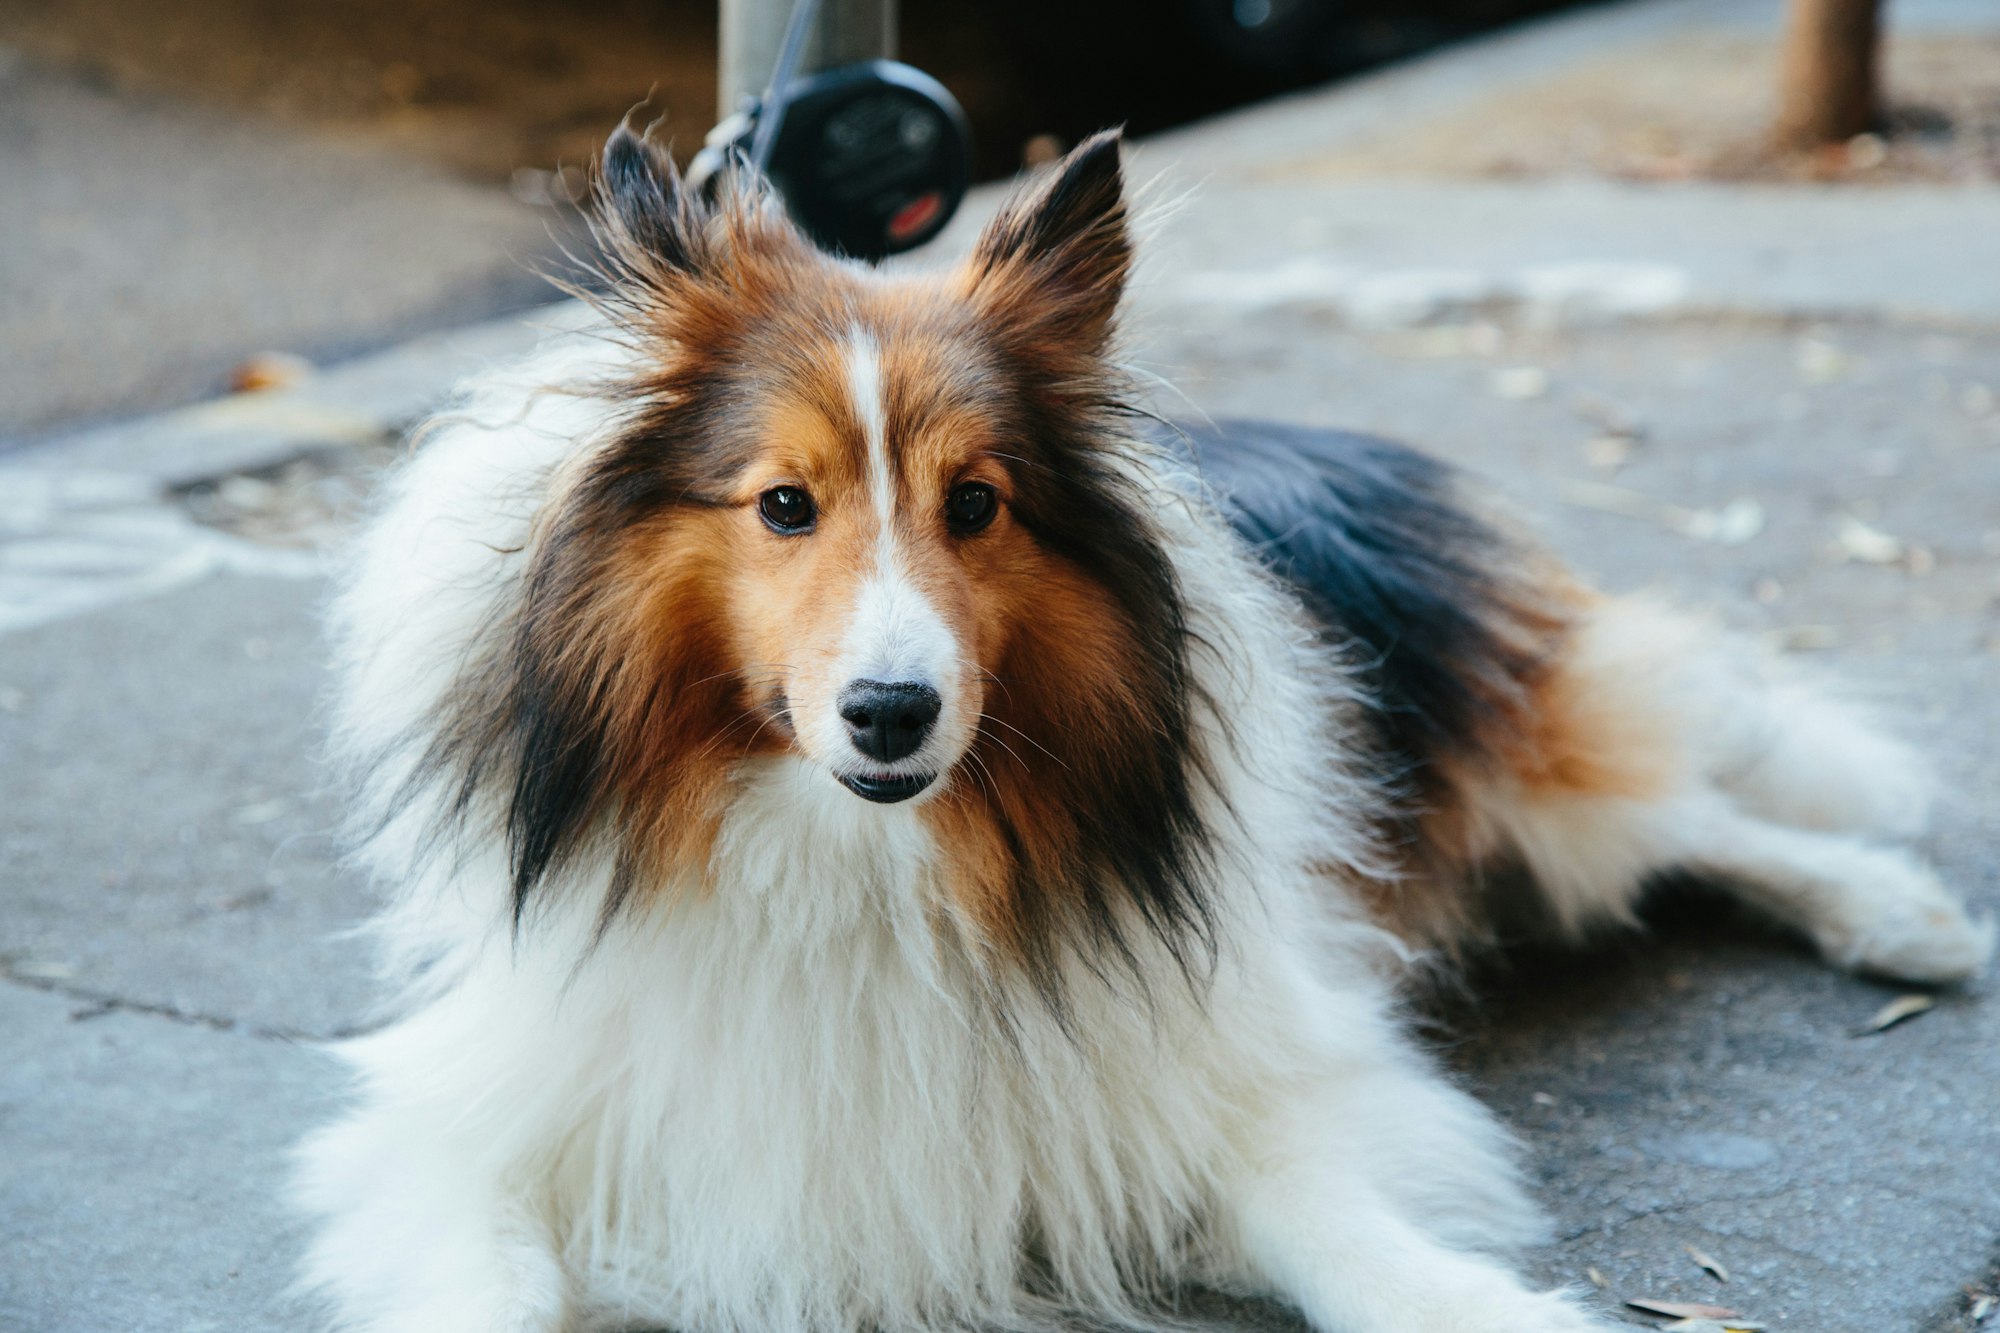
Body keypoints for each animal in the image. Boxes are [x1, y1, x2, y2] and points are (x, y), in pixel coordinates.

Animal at [296, 127, 1984, 1328]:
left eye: (977, 503)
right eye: (783, 504)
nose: (894, 713)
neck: (860, 859)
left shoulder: (1243, 1055)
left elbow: (1340, 1228)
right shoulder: (482, 1111)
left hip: (1534, 776)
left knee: (1691, 810)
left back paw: (1893, 909)